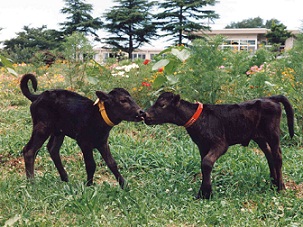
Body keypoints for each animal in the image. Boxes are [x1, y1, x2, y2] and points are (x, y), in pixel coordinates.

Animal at [145, 92, 294, 199]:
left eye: (162, 105)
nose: (145, 115)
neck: (200, 119)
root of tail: (270, 98)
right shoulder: (202, 146)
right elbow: (203, 165)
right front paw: (202, 193)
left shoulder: (220, 144)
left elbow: (206, 163)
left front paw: (207, 193)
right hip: (259, 137)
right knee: (269, 155)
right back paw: (273, 183)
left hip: (273, 133)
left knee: (277, 156)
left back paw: (280, 187)